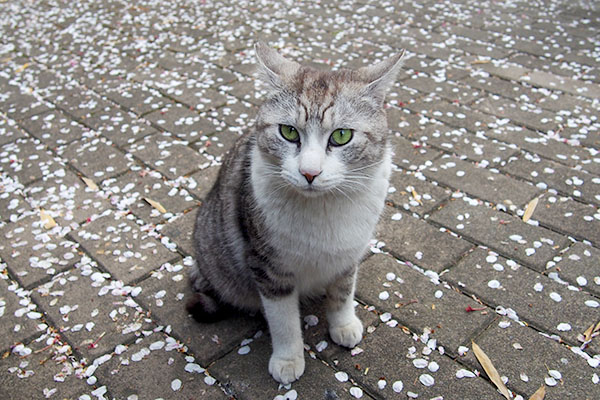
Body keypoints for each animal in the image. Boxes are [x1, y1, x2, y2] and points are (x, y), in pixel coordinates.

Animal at [190, 43, 406, 384]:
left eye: (341, 136)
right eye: (289, 132)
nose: (309, 173)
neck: (323, 208)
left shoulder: (349, 255)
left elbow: (343, 293)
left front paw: (343, 325)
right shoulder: (269, 268)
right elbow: (283, 320)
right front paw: (288, 359)